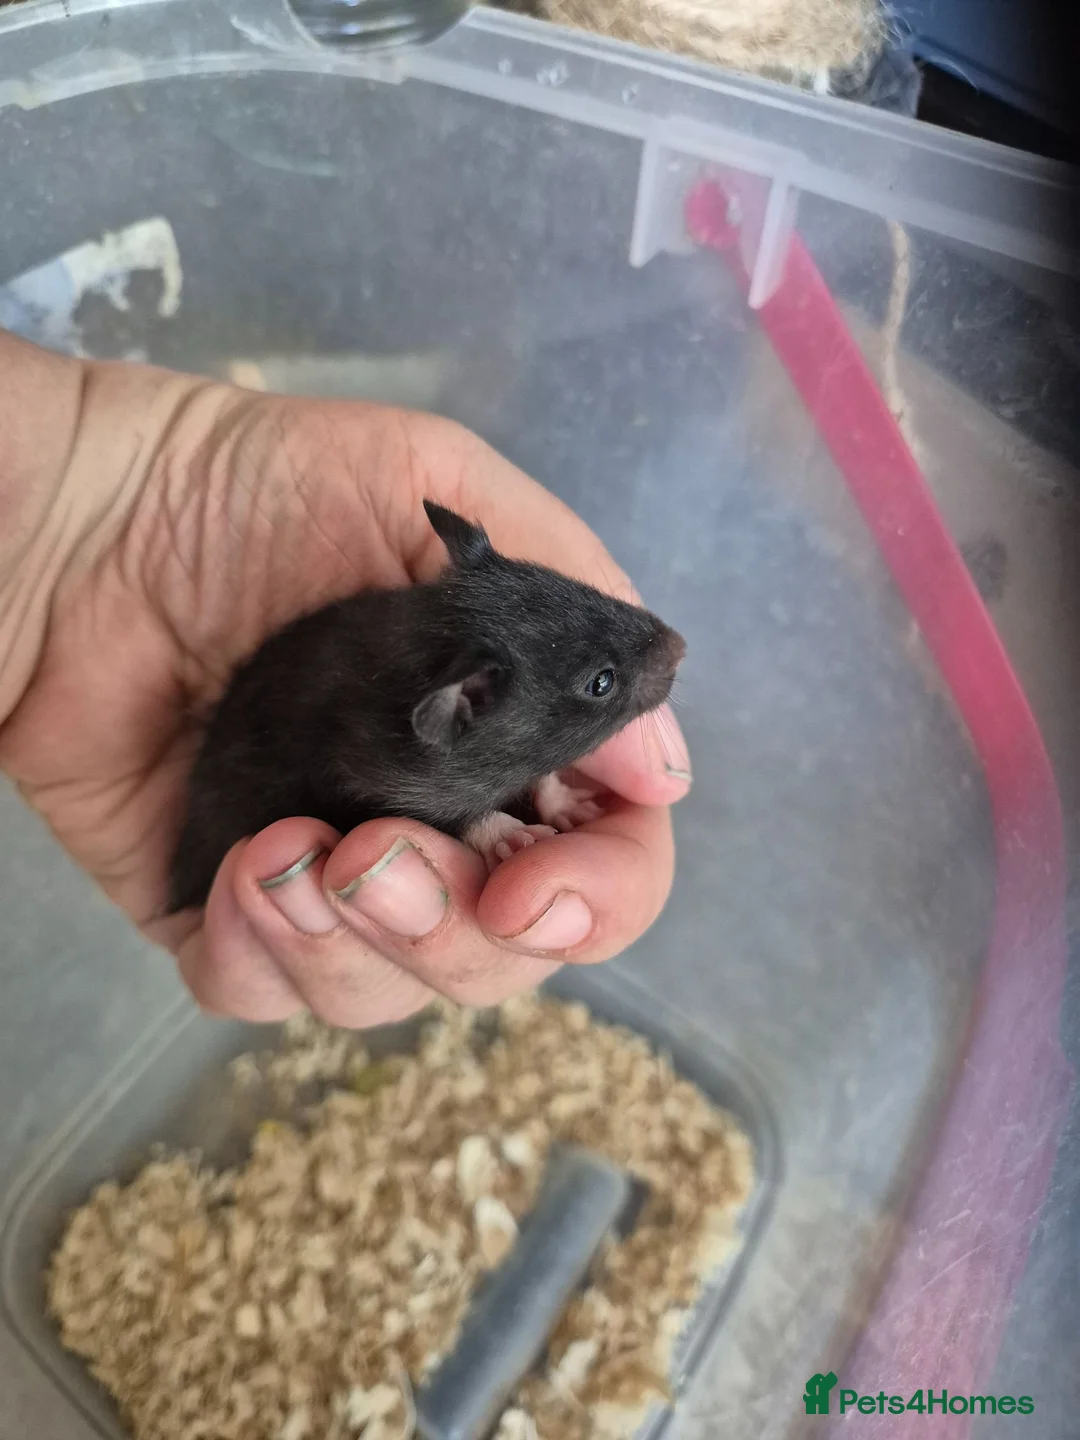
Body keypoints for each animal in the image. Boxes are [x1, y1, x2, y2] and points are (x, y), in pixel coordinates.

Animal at [166, 500, 686, 913]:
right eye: (601, 682)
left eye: (576, 586)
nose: (681, 645)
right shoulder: (380, 790)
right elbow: (458, 816)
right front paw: (511, 835)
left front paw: (566, 802)